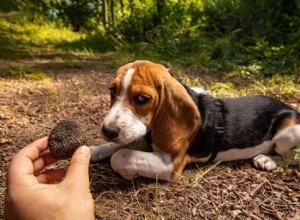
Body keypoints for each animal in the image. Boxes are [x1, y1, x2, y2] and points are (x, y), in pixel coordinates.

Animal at [91, 60, 300, 182]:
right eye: (112, 91)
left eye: (142, 99)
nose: (107, 131)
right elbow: (117, 145)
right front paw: (94, 150)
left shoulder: (171, 165)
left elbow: (121, 155)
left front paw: (127, 172)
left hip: (288, 133)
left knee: (292, 158)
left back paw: (267, 160)